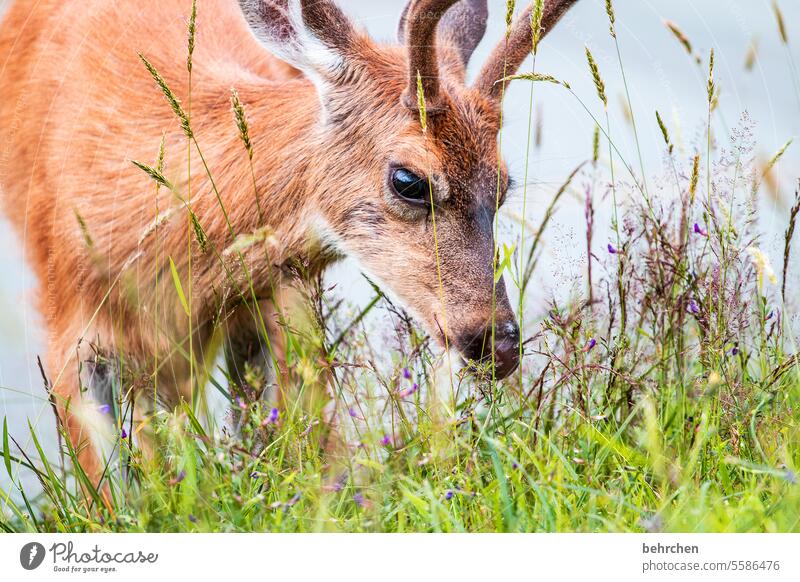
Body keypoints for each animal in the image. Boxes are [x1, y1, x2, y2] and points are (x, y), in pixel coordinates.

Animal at [0, 0, 576, 490]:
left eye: (503, 185)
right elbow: (107, 490)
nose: (497, 343)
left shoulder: (280, 298)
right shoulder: (66, 319)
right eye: (409, 180)